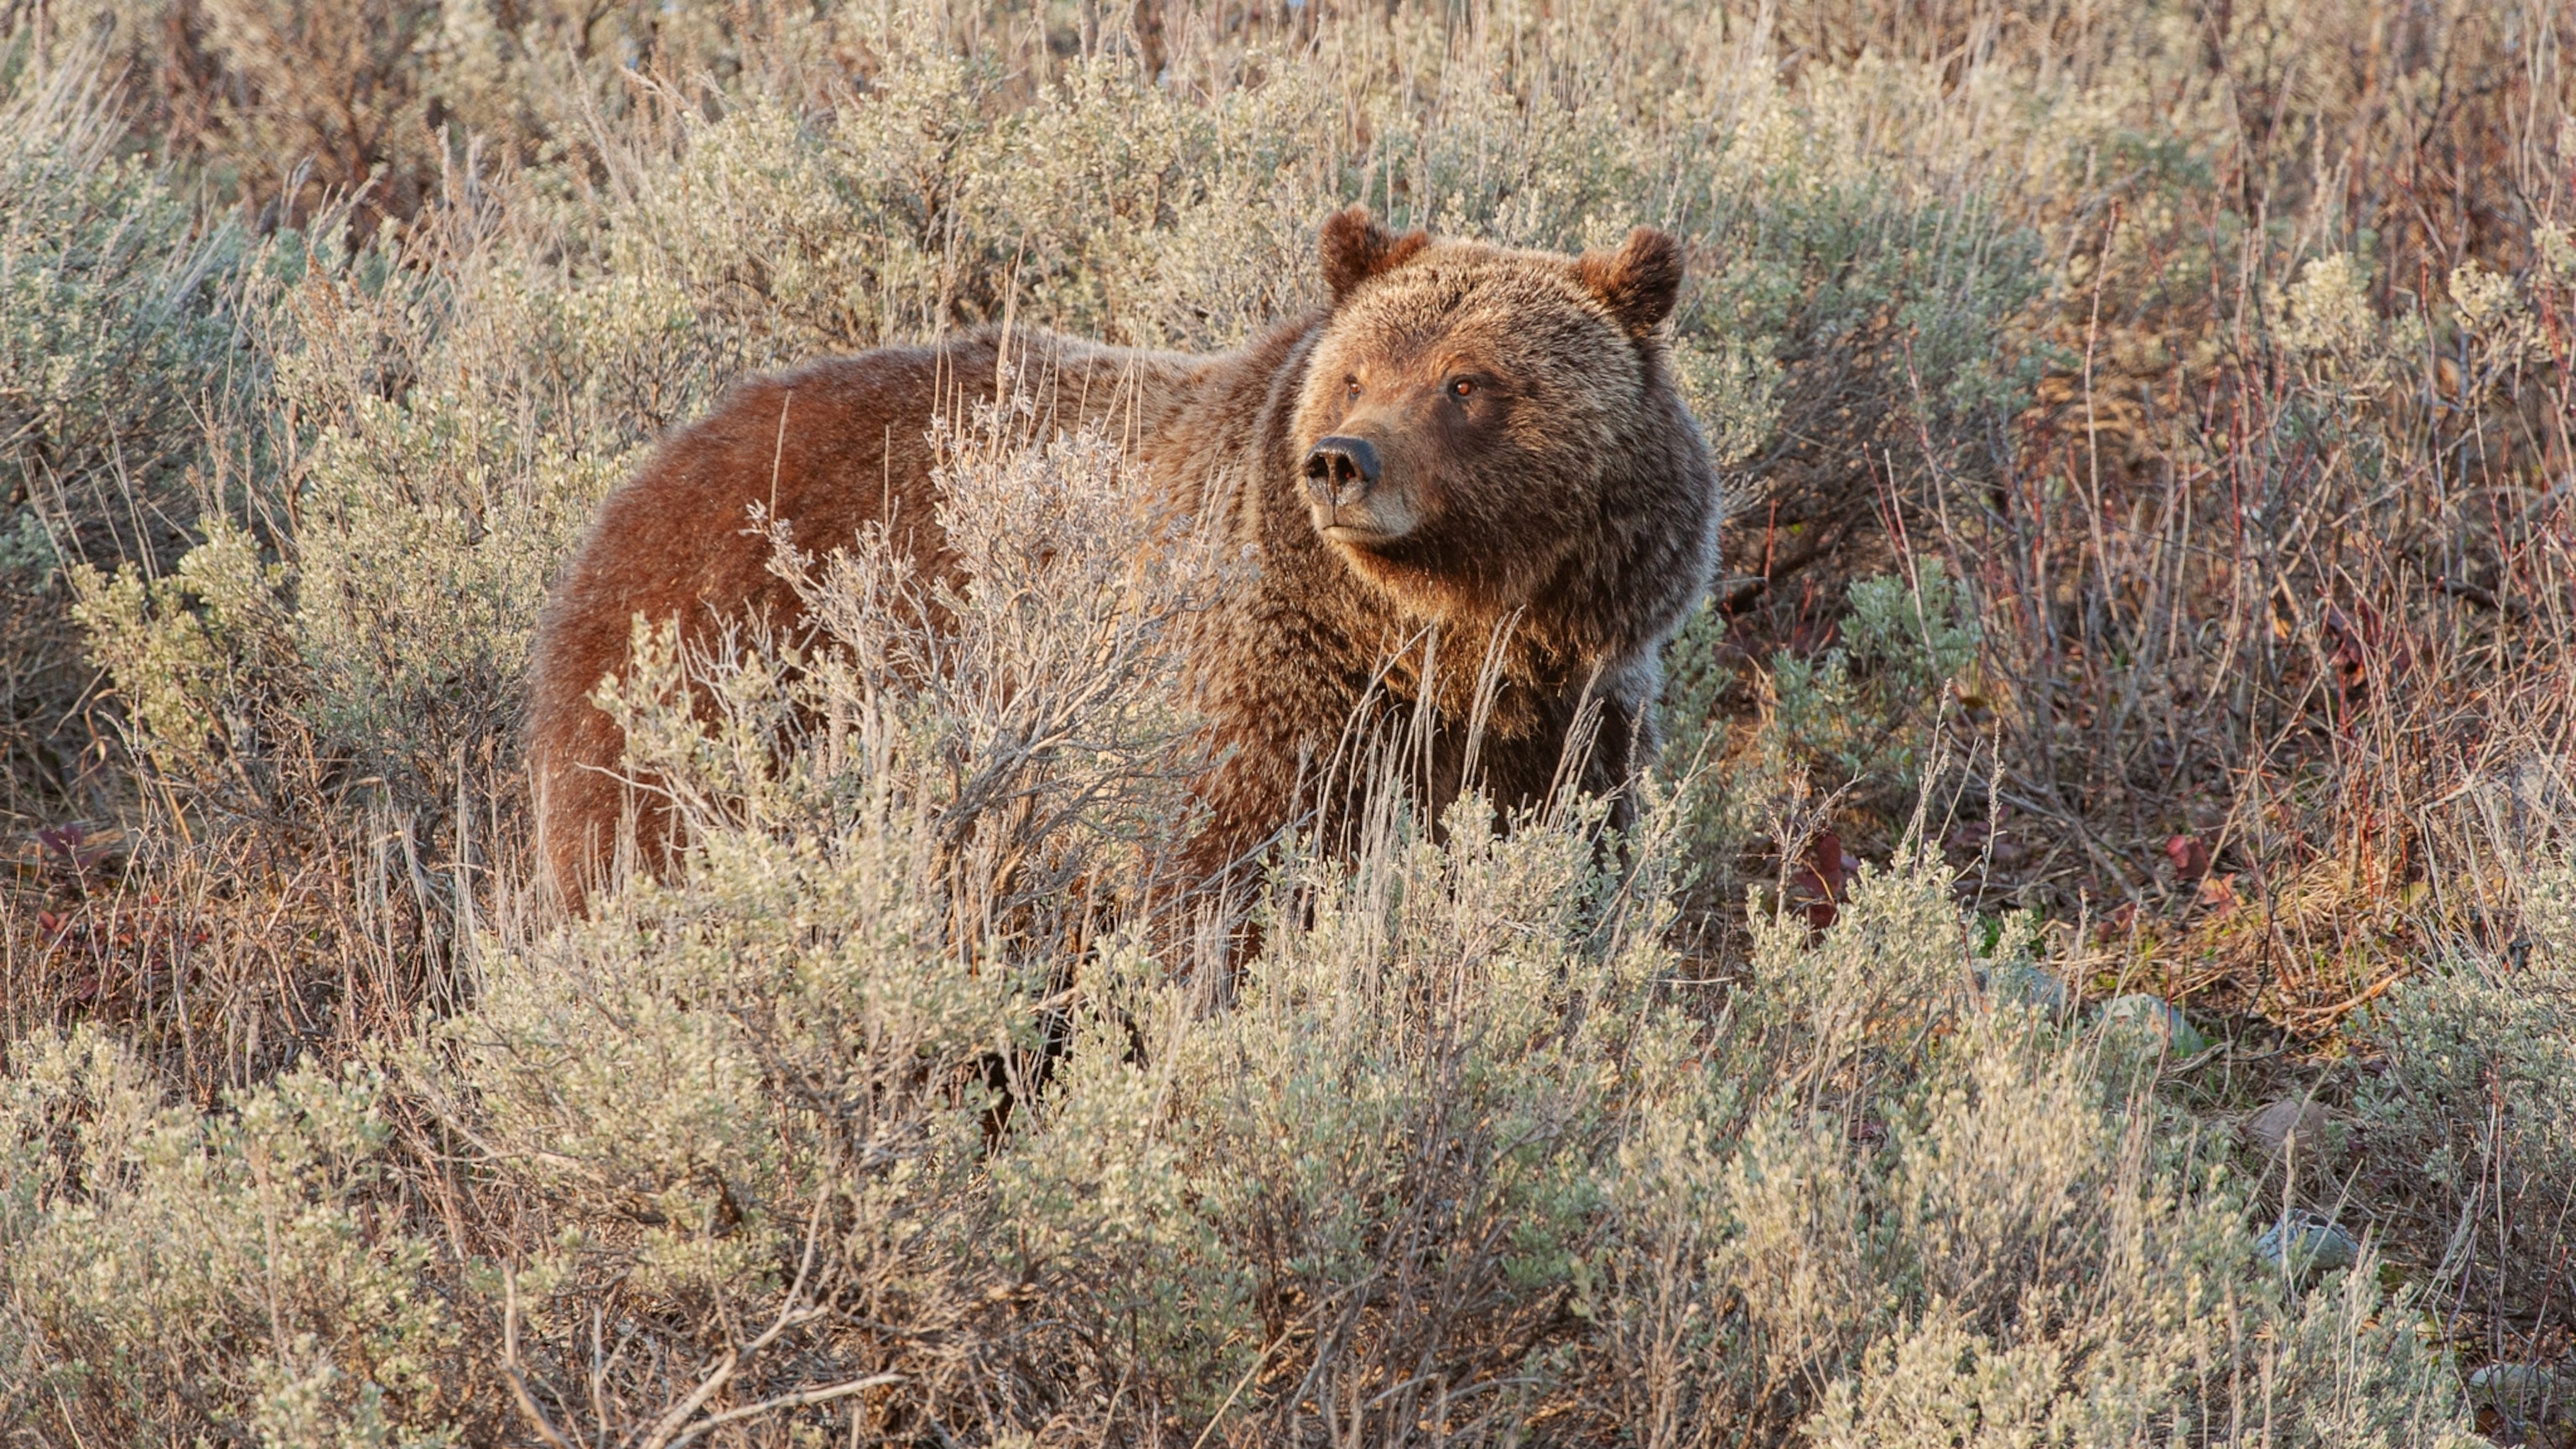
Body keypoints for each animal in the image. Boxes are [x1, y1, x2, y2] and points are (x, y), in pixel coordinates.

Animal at [527, 206, 1722, 909]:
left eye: (1467, 381)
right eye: (1355, 372)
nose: (1342, 462)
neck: (1443, 644)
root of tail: (642, 476)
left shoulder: (1571, 723)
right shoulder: (1254, 708)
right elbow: (1208, 888)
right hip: (723, 674)